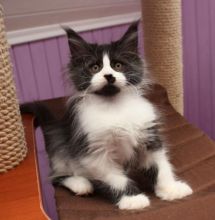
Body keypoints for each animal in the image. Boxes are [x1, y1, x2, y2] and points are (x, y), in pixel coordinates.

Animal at [22, 21, 192, 210]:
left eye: (118, 66)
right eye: (95, 68)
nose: (109, 75)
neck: (114, 106)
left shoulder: (149, 138)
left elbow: (161, 167)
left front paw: (170, 189)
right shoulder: (95, 153)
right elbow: (117, 180)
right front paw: (133, 199)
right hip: (60, 147)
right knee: (57, 176)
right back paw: (81, 184)